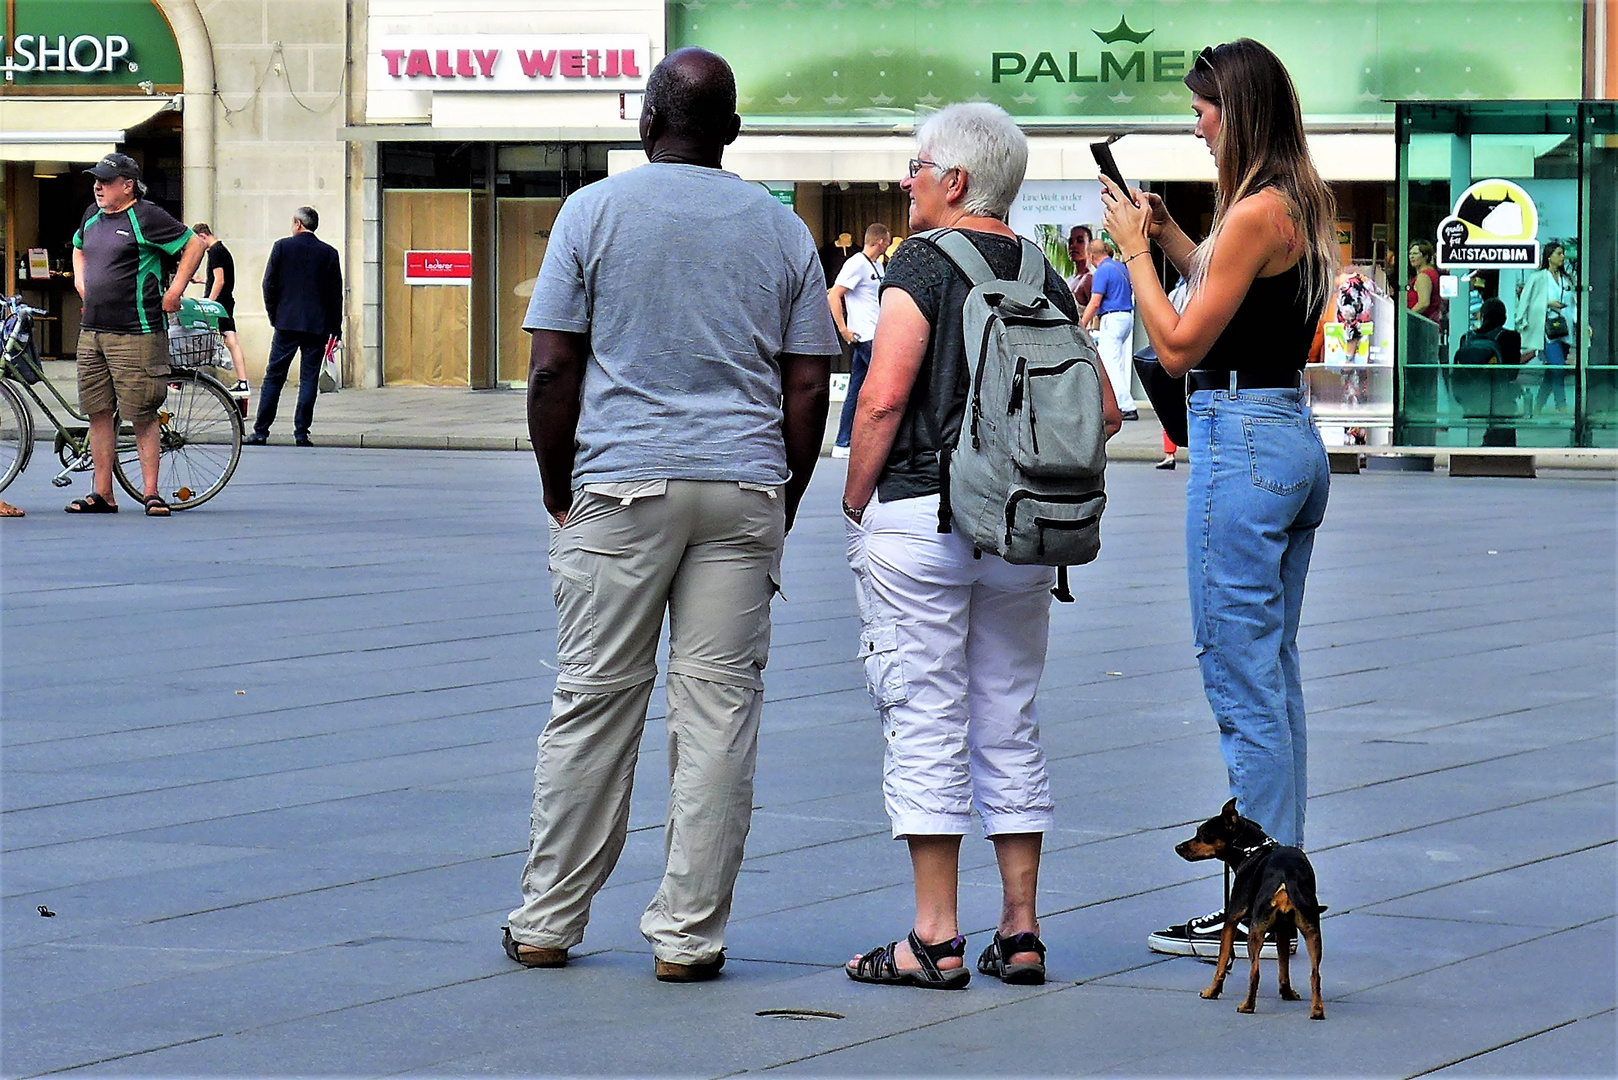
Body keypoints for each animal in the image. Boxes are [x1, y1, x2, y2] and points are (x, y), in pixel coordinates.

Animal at [1177, 803, 1326, 1023]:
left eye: (1204, 835)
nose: (1178, 847)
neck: (1253, 850)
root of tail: (1286, 879)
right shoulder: (1283, 930)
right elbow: (1283, 966)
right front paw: (1287, 993)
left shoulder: (1231, 919)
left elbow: (1221, 962)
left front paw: (1212, 991)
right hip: (1312, 930)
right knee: (1315, 974)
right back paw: (1317, 1010)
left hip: (1255, 931)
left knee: (1254, 972)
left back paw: (1247, 1006)